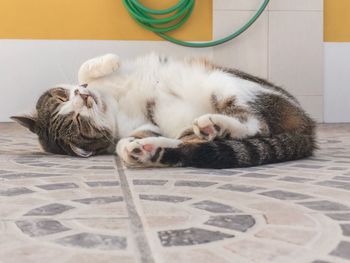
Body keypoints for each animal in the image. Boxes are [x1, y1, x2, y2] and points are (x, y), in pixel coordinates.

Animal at [11, 53, 318, 169]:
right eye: (78, 121)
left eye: (61, 96)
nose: (83, 97)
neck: (112, 103)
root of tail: (308, 125)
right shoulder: (143, 126)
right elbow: (124, 139)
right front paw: (130, 146)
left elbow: (84, 69)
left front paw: (105, 62)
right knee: (254, 125)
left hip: (225, 82)